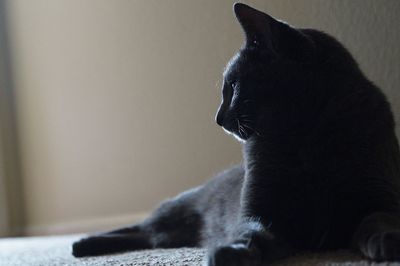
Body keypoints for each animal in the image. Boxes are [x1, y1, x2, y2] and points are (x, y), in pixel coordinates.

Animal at [72, 3, 400, 264]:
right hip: (174, 213)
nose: (217, 119)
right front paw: (230, 251)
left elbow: (379, 220)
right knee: (141, 227)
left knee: (147, 236)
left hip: (169, 232)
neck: (302, 140)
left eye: (233, 86)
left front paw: (387, 241)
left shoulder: (379, 198)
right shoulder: (263, 214)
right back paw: (82, 243)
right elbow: (250, 233)